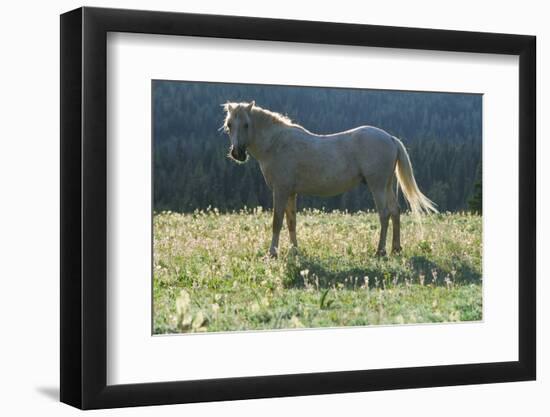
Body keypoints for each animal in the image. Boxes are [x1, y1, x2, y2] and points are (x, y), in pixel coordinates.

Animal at [222, 101, 438, 256]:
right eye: (229, 125)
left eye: (246, 124)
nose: (237, 153)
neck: (276, 144)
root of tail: (390, 138)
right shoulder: (291, 193)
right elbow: (291, 222)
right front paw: (294, 251)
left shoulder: (281, 191)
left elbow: (276, 222)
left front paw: (273, 253)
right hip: (386, 185)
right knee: (395, 211)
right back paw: (396, 249)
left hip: (377, 186)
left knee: (384, 214)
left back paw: (380, 251)